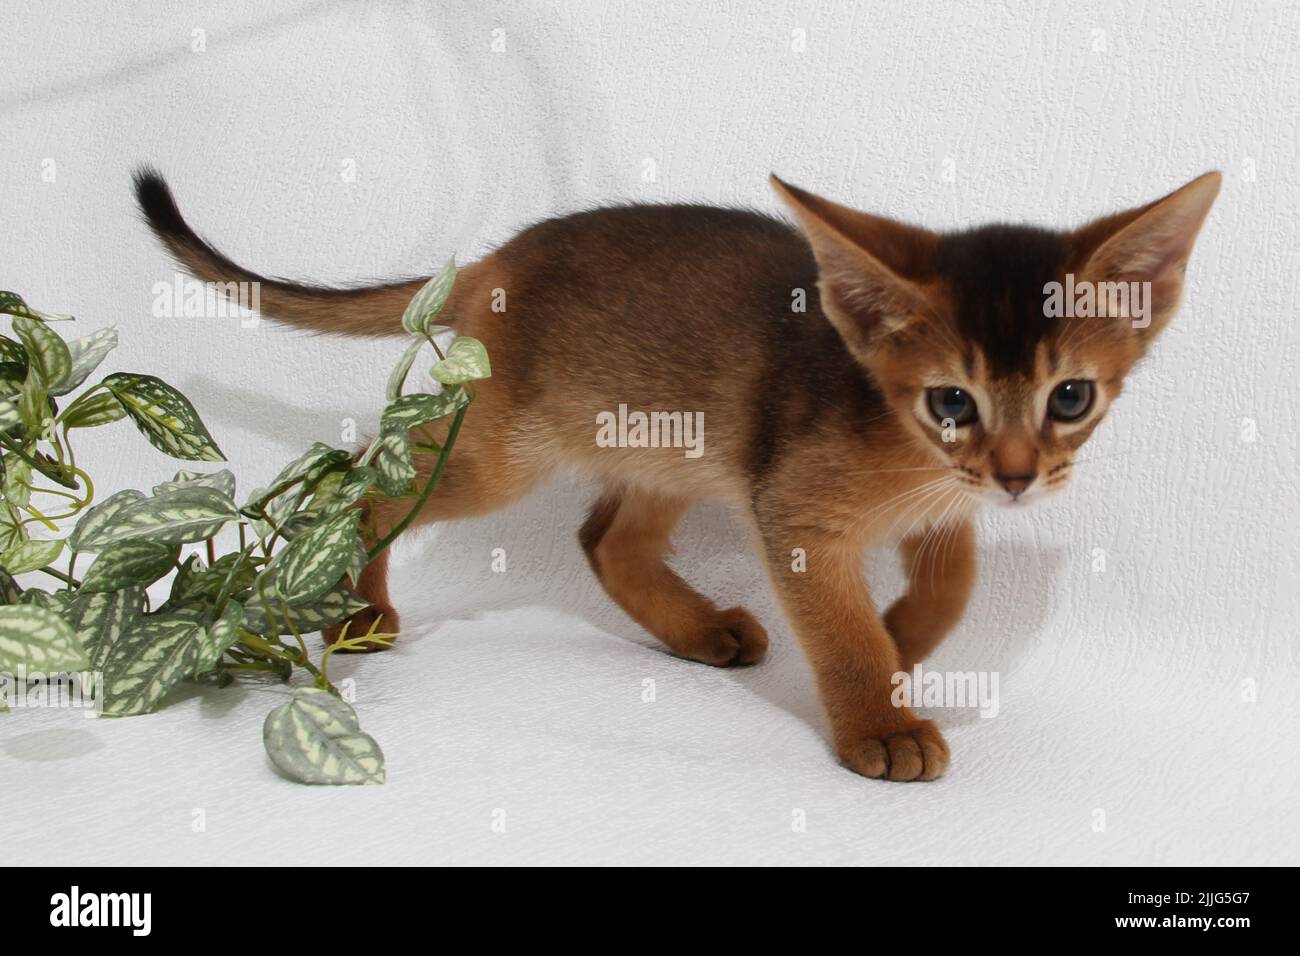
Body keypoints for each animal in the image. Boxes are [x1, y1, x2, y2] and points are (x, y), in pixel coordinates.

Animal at [134, 170, 1216, 785]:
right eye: (952, 400)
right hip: (498, 452)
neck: (910, 451)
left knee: (605, 538)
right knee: (371, 476)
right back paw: (359, 606)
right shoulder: (792, 510)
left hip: (675, 443)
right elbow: (839, 629)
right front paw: (877, 712)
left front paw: (903, 642)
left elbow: (954, 583)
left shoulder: (943, 510)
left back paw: (701, 631)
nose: (1020, 477)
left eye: (1070, 396)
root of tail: (497, 257)